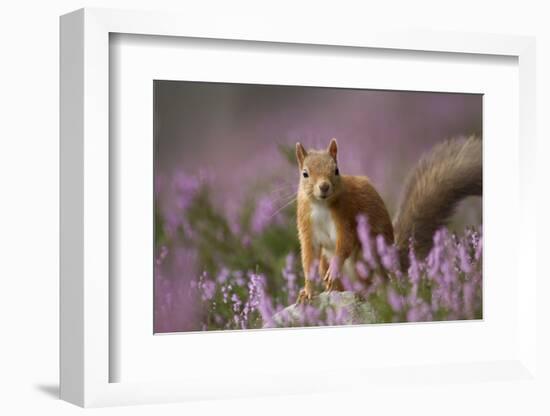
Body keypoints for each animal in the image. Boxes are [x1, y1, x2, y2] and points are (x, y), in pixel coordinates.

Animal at [298, 136, 484, 302]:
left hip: (365, 256)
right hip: (326, 262)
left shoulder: (347, 215)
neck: (321, 205)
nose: (324, 186)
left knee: (371, 281)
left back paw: (364, 292)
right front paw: (307, 291)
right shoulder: (307, 225)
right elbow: (309, 257)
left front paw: (334, 269)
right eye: (305, 173)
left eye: (336, 170)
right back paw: (336, 290)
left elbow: (346, 242)